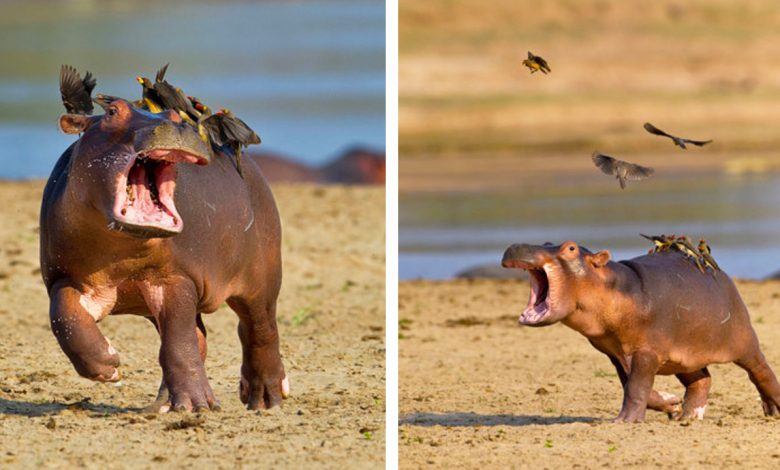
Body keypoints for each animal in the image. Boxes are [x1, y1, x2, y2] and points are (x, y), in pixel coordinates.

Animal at [40, 100, 290, 412]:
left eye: (174, 115)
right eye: (112, 111)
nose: (173, 125)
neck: (122, 250)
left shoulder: (175, 277)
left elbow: (179, 342)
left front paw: (197, 406)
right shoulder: (65, 278)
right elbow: (65, 318)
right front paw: (108, 365)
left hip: (262, 279)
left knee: (258, 330)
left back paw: (265, 399)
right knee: (200, 338)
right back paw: (163, 404)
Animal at [502, 242, 776, 422]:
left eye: (571, 248)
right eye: (548, 242)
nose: (517, 245)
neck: (610, 285)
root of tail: (723, 274)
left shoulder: (646, 351)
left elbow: (636, 387)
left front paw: (624, 421)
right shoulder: (615, 353)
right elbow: (632, 385)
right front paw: (672, 404)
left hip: (744, 342)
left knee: (761, 372)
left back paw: (773, 410)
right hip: (683, 356)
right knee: (701, 380)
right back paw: (688, 417)